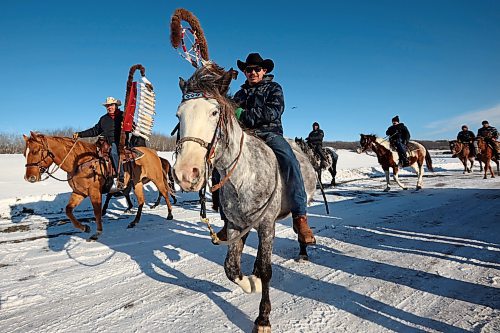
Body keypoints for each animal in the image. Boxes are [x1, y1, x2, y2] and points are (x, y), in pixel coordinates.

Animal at [24, 131, 175, 240]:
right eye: (25, 153)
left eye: (35, 151)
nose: (29, 177)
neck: (79, 162)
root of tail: (154, 153)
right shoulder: (79, 192)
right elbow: (68, 210)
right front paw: (85, 228)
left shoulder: (94, 192)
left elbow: (97, 211)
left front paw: (98, 232)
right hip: (137, 183)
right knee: (141, 201)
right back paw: (134, 222)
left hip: (157, 179)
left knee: (165, 193)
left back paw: (169, 214)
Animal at [173, 63, 316, 332]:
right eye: (179, 115)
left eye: (214, 112)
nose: (186, 173)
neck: (244, 175)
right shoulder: (236, 225)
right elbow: (230, 267)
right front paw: (252, 283)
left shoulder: (267, 225)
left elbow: (267, 269)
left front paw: (263, 319)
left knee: (298, 224)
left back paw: (303, 248)